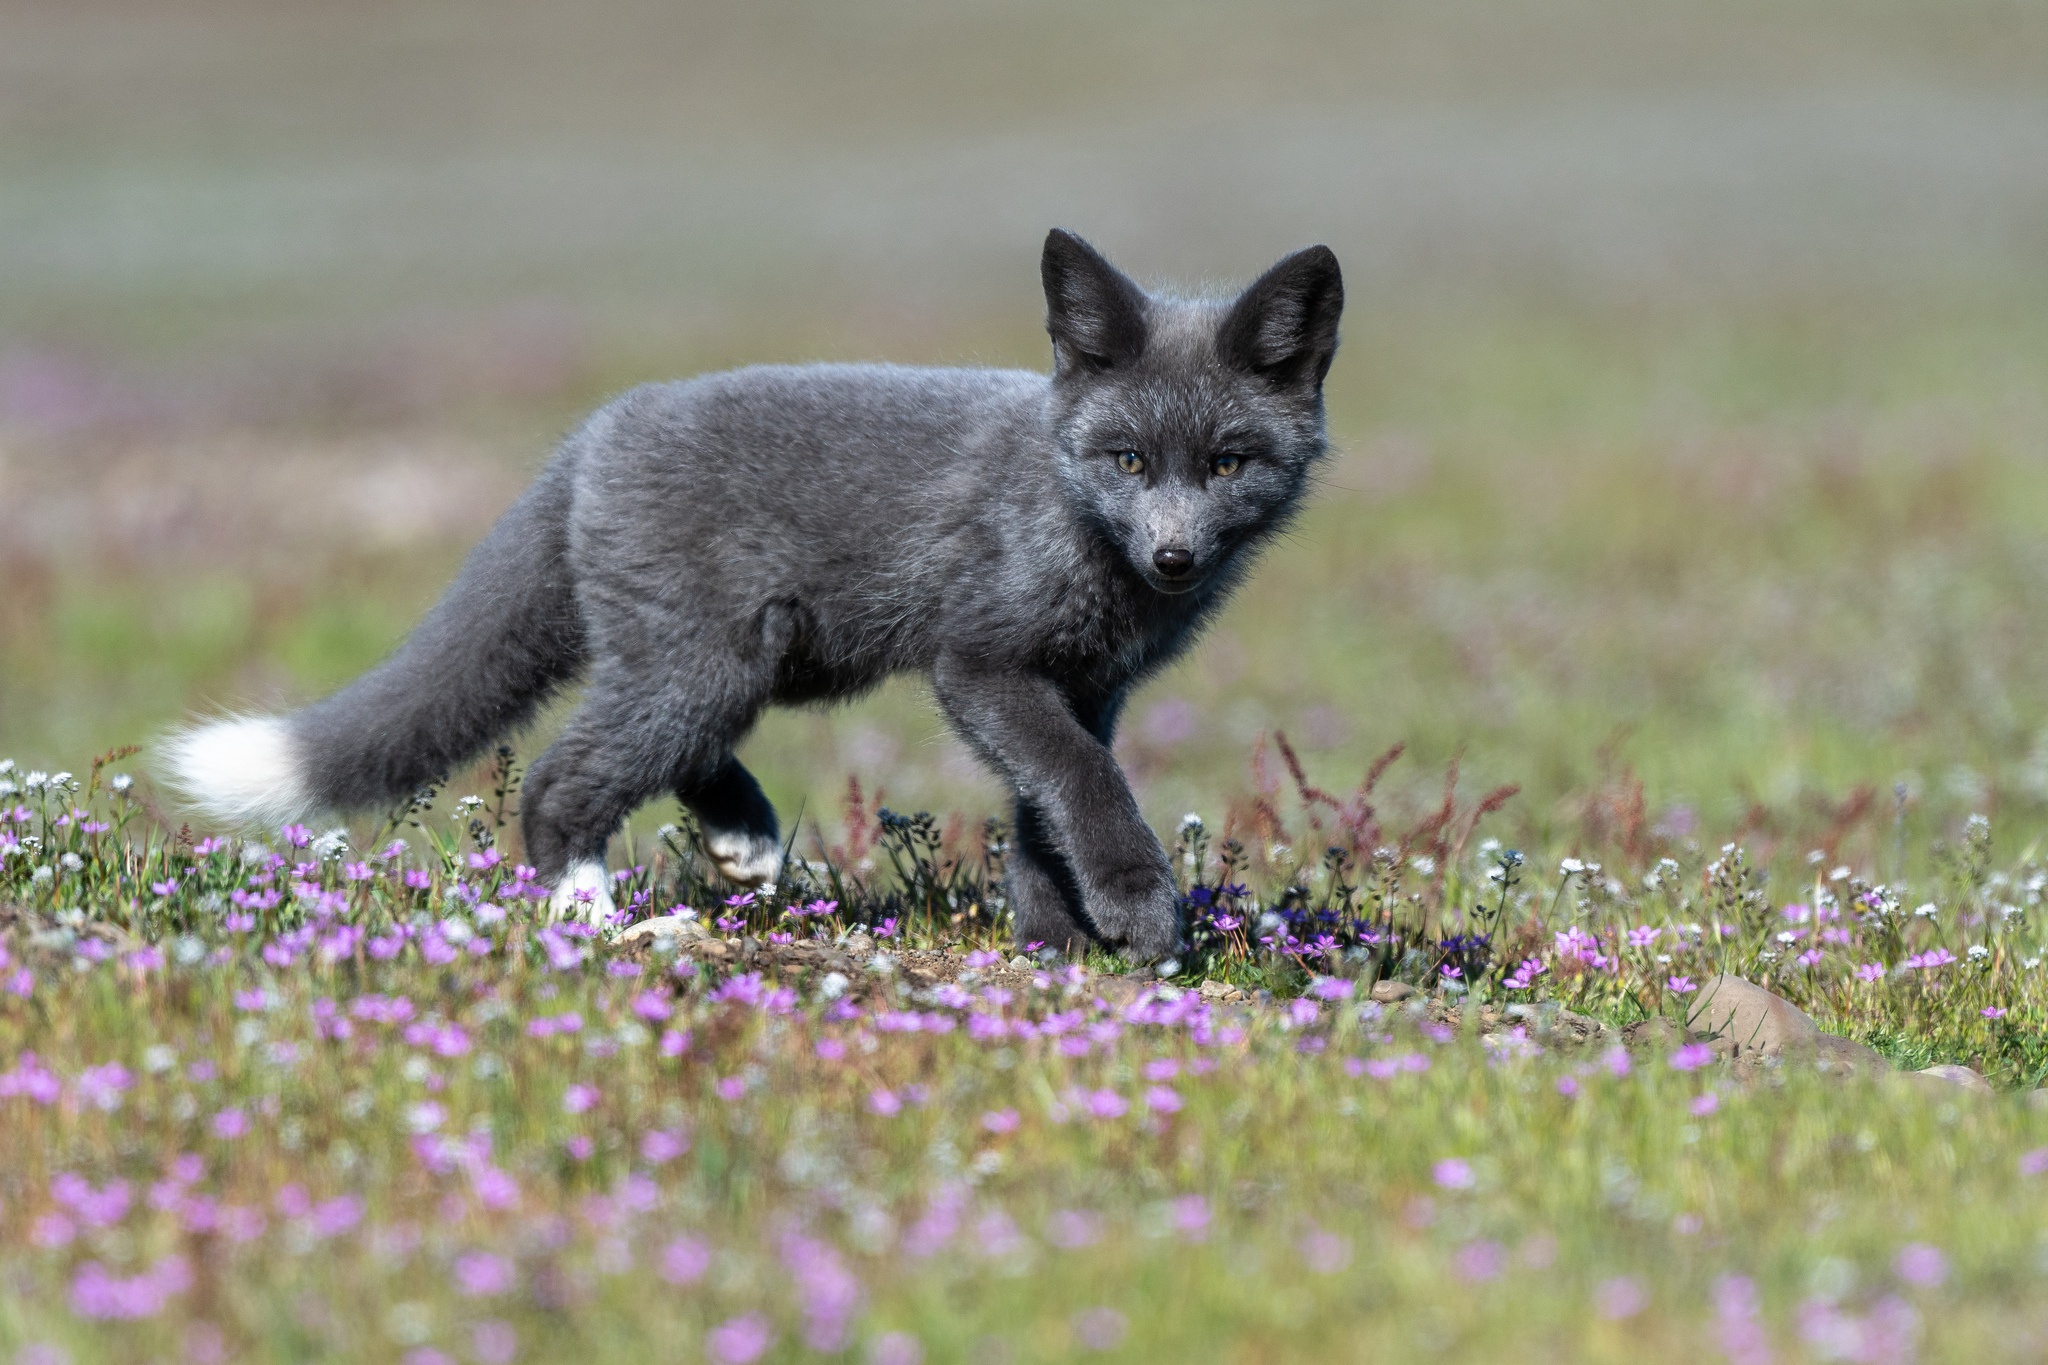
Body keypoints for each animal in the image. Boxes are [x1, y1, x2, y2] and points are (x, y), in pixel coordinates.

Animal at [163, 232, 1343, 961]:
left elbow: (1040, 814)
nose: (1174, 558)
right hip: (713, 663)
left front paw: (1058, 943)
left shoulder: (1088, 689)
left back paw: (742, 841)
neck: (1069, 507)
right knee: (557, 780)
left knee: (661, 754)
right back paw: (592, 916)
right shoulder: (983, 664)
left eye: (1228, 463)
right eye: (1129, 459)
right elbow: (1084, 788)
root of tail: (593, 431)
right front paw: (1136, 914)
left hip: (744, 663)